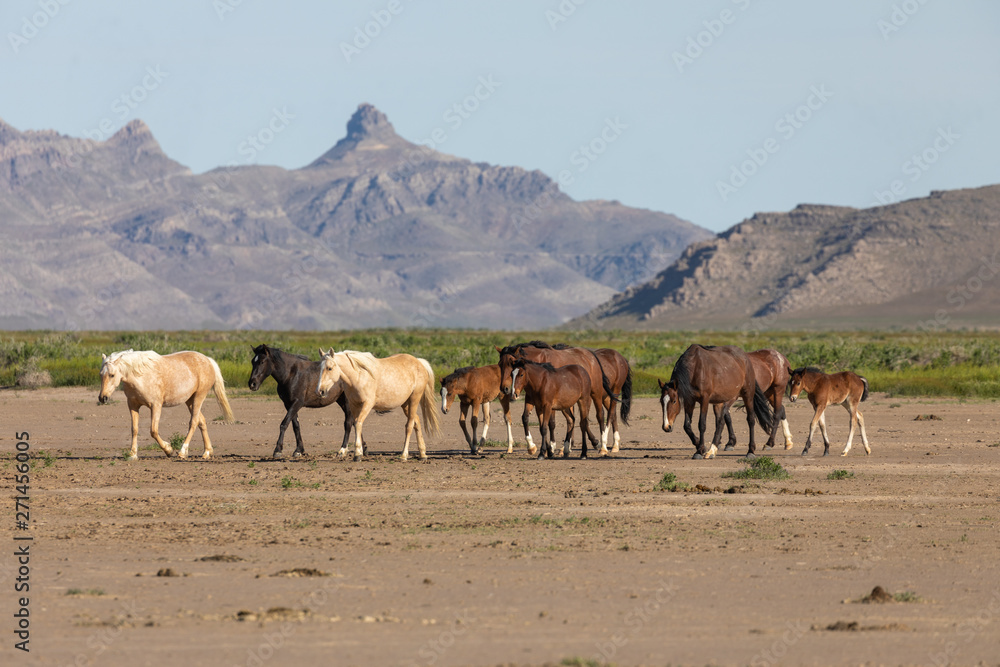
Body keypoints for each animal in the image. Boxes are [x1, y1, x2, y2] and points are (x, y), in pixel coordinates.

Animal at [100, 350, 236, 460]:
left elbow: (153, 431)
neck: (140, 376)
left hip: (199, 397)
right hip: (190, 401)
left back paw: (182, 452)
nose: (102, 398)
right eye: (101, 374)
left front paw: (168, 450)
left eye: (112, 375)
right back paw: (207, 452)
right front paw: (132, 454)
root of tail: (208, 360)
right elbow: (134, 429)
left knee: (193, 422)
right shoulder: (133, 405)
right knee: (201, 421)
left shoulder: (156, 406)